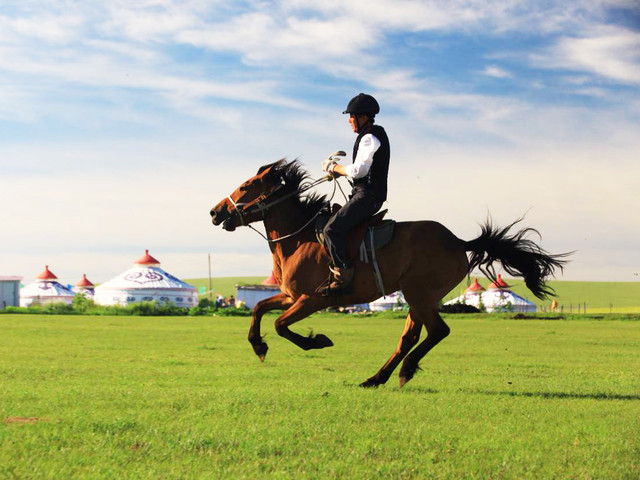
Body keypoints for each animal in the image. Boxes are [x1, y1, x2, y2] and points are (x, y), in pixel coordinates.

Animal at [210, 159, 568, 388]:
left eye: (246, 186)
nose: (215, 212)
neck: (300, 238)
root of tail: (458, 242)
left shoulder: (311, 300)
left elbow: (280, 325)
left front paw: (319, 341)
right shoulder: (289, 295)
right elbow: (258, 309)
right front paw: (258, 346)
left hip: (418, 294)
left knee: (437, 331)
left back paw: (403, 371)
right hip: (417, 298)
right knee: (411, 336)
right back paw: (376, 378)